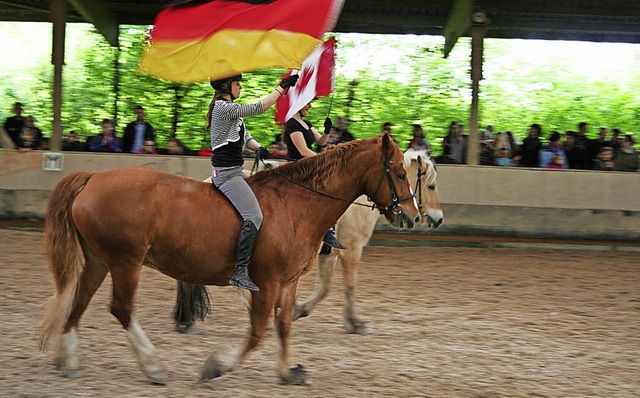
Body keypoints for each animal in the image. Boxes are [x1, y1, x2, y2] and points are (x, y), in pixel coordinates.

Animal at [38, 133, 420, 386]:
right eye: (399, 172)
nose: (413, 217)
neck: (296, 204)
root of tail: (92, 179)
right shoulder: (266, 282)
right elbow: (257, 332)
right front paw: (217, 365)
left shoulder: (288, 282)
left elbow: (284, 326)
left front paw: (287, 371)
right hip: (125, 262)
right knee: (121, 309)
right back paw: (152, 366)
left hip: (99, 260)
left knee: (78, 303)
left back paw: (68, 360)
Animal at [292, 148, 442, 334]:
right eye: (431, 186)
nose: (440, 219)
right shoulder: (352, 249)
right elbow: (350, 286)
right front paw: (355, 323)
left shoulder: (328, 254)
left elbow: (324, 288)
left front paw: (299, 309)